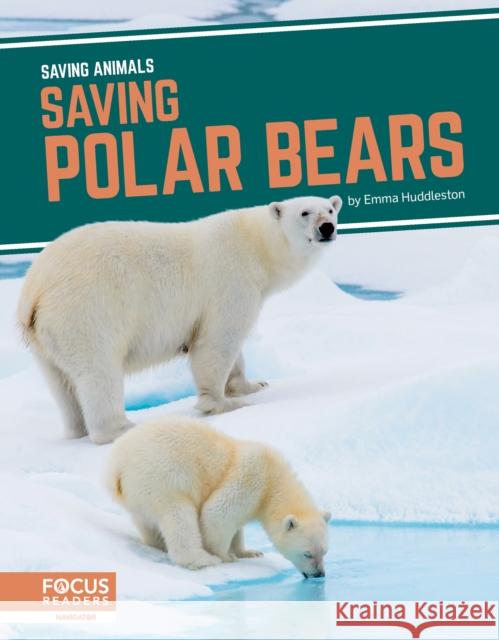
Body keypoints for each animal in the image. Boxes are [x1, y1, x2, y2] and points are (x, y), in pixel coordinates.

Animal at [17, 195, 342, 444]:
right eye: (304, 212)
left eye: (330, 208)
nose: (327, 228)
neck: (255, 244)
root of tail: (35, 288)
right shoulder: (230, 281)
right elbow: (217, 341)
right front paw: (224, 403)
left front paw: (254, 384)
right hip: (86, 312)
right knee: (98, 372)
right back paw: (122, 428)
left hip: (46, 338)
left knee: (61, 384)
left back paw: (77, 430)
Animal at [105, 415, 331, 576]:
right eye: (307, 553)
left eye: (325, 551)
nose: (319, 574)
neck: (273, 480)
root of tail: (116, 467)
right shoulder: (251, 477)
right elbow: (217, 514)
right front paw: (226, 556)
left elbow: (237, 527)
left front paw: (249, 552)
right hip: (163, 478)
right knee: (179, 517)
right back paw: (202, 559)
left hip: (139, 494)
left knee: (146, 523)